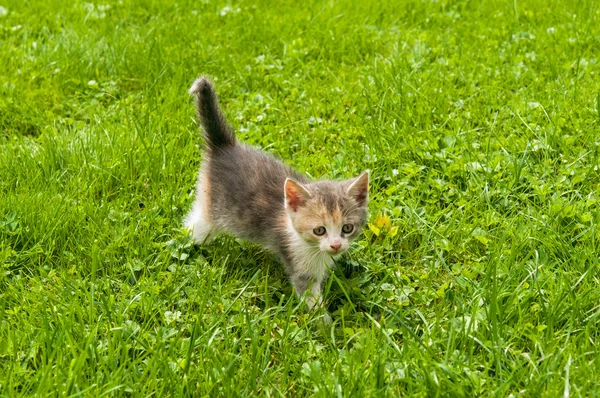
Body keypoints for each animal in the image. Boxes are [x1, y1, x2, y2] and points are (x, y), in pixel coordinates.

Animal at [185, 77, 368, 320]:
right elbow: (311, 298)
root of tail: (223, 146)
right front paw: (325, 324)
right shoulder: (298, 263)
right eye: (319, 230)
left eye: (347, 228)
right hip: (211, 210)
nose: (336, 245)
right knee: (195, 227)